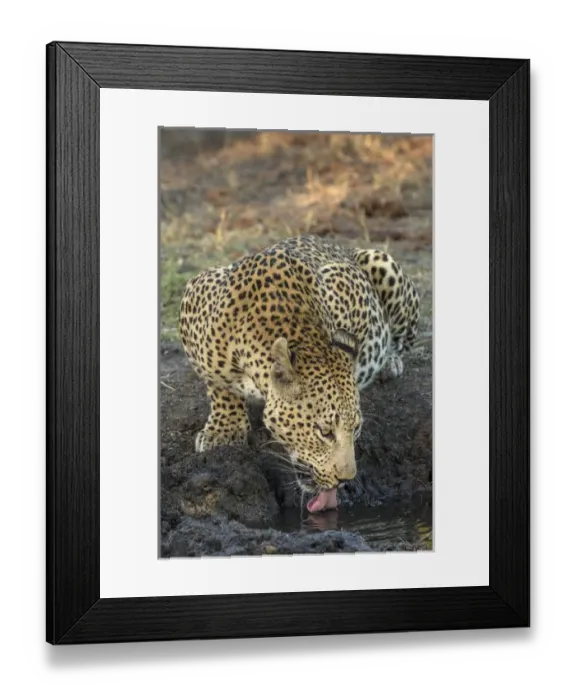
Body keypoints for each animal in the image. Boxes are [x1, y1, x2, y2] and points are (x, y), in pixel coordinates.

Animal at [179, 235, 420, 513]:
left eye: (357, 428)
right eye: (325, 432)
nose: (346, 479)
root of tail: (340, 245)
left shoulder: (344, 282)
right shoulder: (195, 292)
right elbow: (218, 383)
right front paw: (223, 431)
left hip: (383, 264)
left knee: (403, 338)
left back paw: (390, 362)